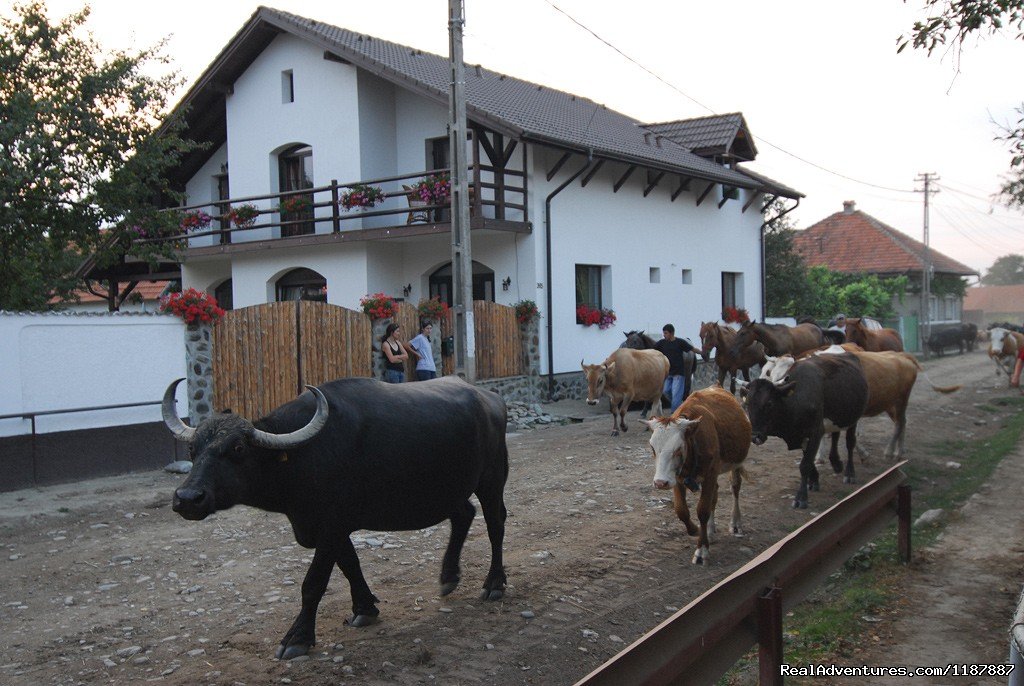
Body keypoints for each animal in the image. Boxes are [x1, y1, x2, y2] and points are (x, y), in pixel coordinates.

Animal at [162, 376, 507, 659]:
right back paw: (448, 577)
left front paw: (297, 638)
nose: (188, 498)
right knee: (464, 514)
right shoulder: (331, 528)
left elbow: (313, 583)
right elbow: (350, 565)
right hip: (449, 491)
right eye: (193, 449)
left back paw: (494, 584)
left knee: (495, 525)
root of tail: (491, 399)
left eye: (237, 448)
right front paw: (365, 608)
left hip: (491, 480)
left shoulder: (331, 527)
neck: (302, 457)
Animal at [643, 387, 749, 565]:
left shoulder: (709, 475)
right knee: (715, 495)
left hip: (736, 463)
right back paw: (711, 531)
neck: (693, 442)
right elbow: (681, 510)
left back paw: (735, 523)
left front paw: (702, 550)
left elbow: (703, 511)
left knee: (735, 487)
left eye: (678, 449)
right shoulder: (677, 479)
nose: (660, 483)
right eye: (652, 448)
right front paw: (696, 530)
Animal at [741, 354, 868, 509]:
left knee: (850, 443)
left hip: (853, 419)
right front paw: (813, 481)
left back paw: (849, 474)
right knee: (835, 435)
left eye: (769, 403)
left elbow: (805, 464)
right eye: (747, 404)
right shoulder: (802, 435)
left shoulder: (815, 432)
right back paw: (836, 463)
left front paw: (801, 498)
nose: (755, 436)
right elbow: (808, 459)